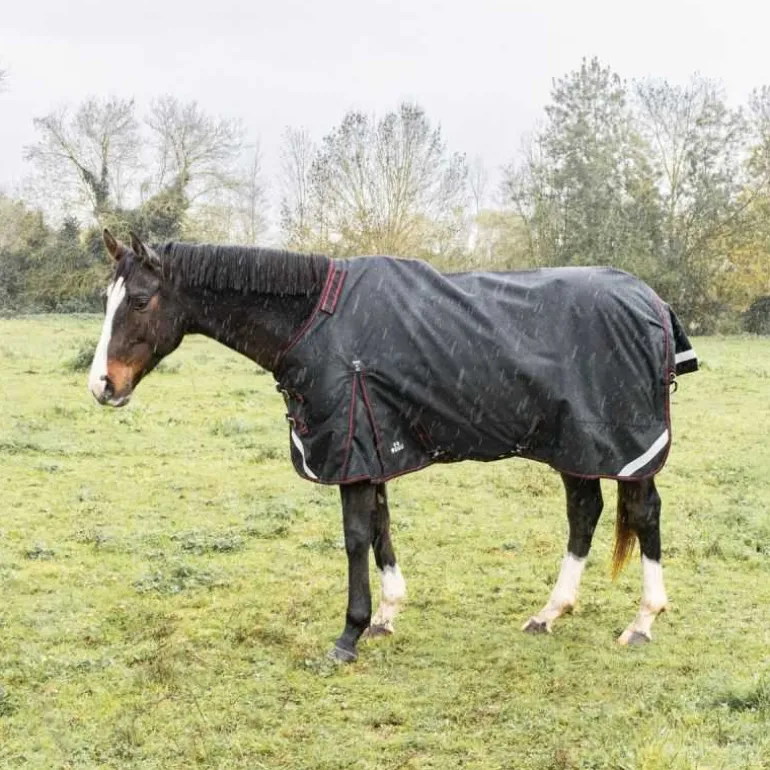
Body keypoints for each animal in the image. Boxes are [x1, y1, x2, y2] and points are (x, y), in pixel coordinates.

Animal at [88, 230, 697, 662]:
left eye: (139, 301)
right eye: (108, 299)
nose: (102, 386)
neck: (316, 322)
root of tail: (650, 299)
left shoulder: (351, 449)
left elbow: (356, 536)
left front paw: (349, 635)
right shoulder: (372, 447)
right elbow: (381, 524)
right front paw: (385, 615)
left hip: (625, 446)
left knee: (644, 513)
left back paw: (643, 621)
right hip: (575, 445)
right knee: (584, 511)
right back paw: (549, 612)